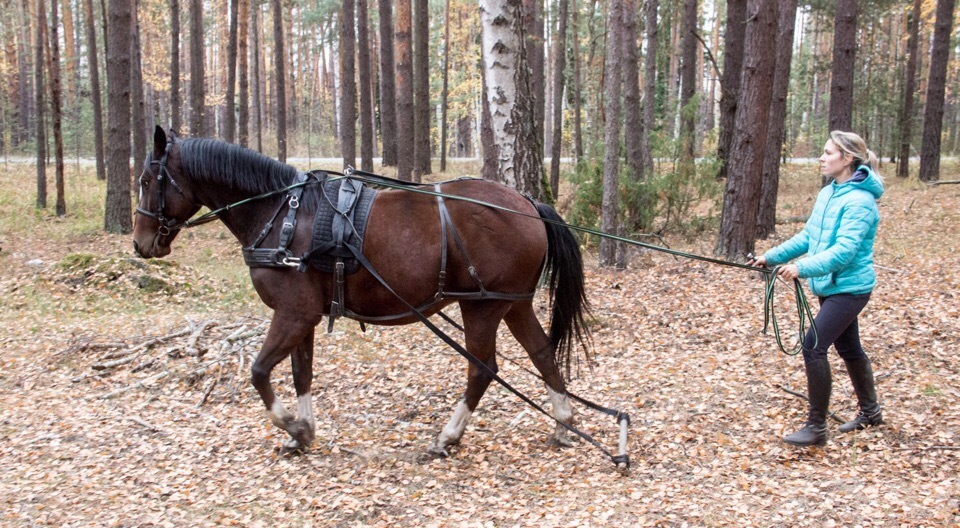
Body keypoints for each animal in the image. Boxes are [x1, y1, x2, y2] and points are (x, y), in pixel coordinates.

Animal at [131, 126, 588, 456]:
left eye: (148, 179)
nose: (141, 243)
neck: (283, 215)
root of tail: (528, 205)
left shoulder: (293, 313)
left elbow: (259, 372)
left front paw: (293, 425)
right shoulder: (303, 316)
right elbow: (301, 373)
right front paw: (302, 432)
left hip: (483, 308)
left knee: (482, 369)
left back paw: (448, 436)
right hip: (513, 305)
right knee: (542, 353)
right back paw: (563, 423)